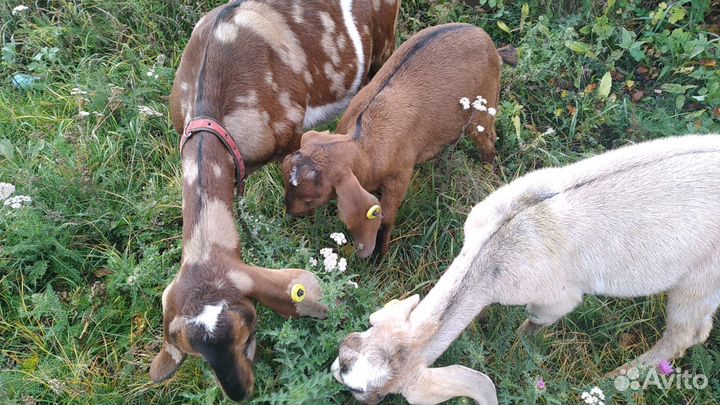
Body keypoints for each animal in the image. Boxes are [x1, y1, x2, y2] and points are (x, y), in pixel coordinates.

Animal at [282, 23, 517, 258]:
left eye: (311, 197)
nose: (291, 214)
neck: (363, 142)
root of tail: (492, 46)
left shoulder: (399, 176)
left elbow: (386, 218)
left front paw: (378, 257)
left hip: (484, 108)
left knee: (489, 142)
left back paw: (491, 176)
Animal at [331, 134, 720, 404]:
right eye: (346, 352)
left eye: (365, 392)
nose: (333, 371)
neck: (492, 250)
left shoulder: (556, 297)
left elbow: (536, 320)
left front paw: (519, 343)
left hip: (702, 280)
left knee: (687, 333)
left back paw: (616, 376)